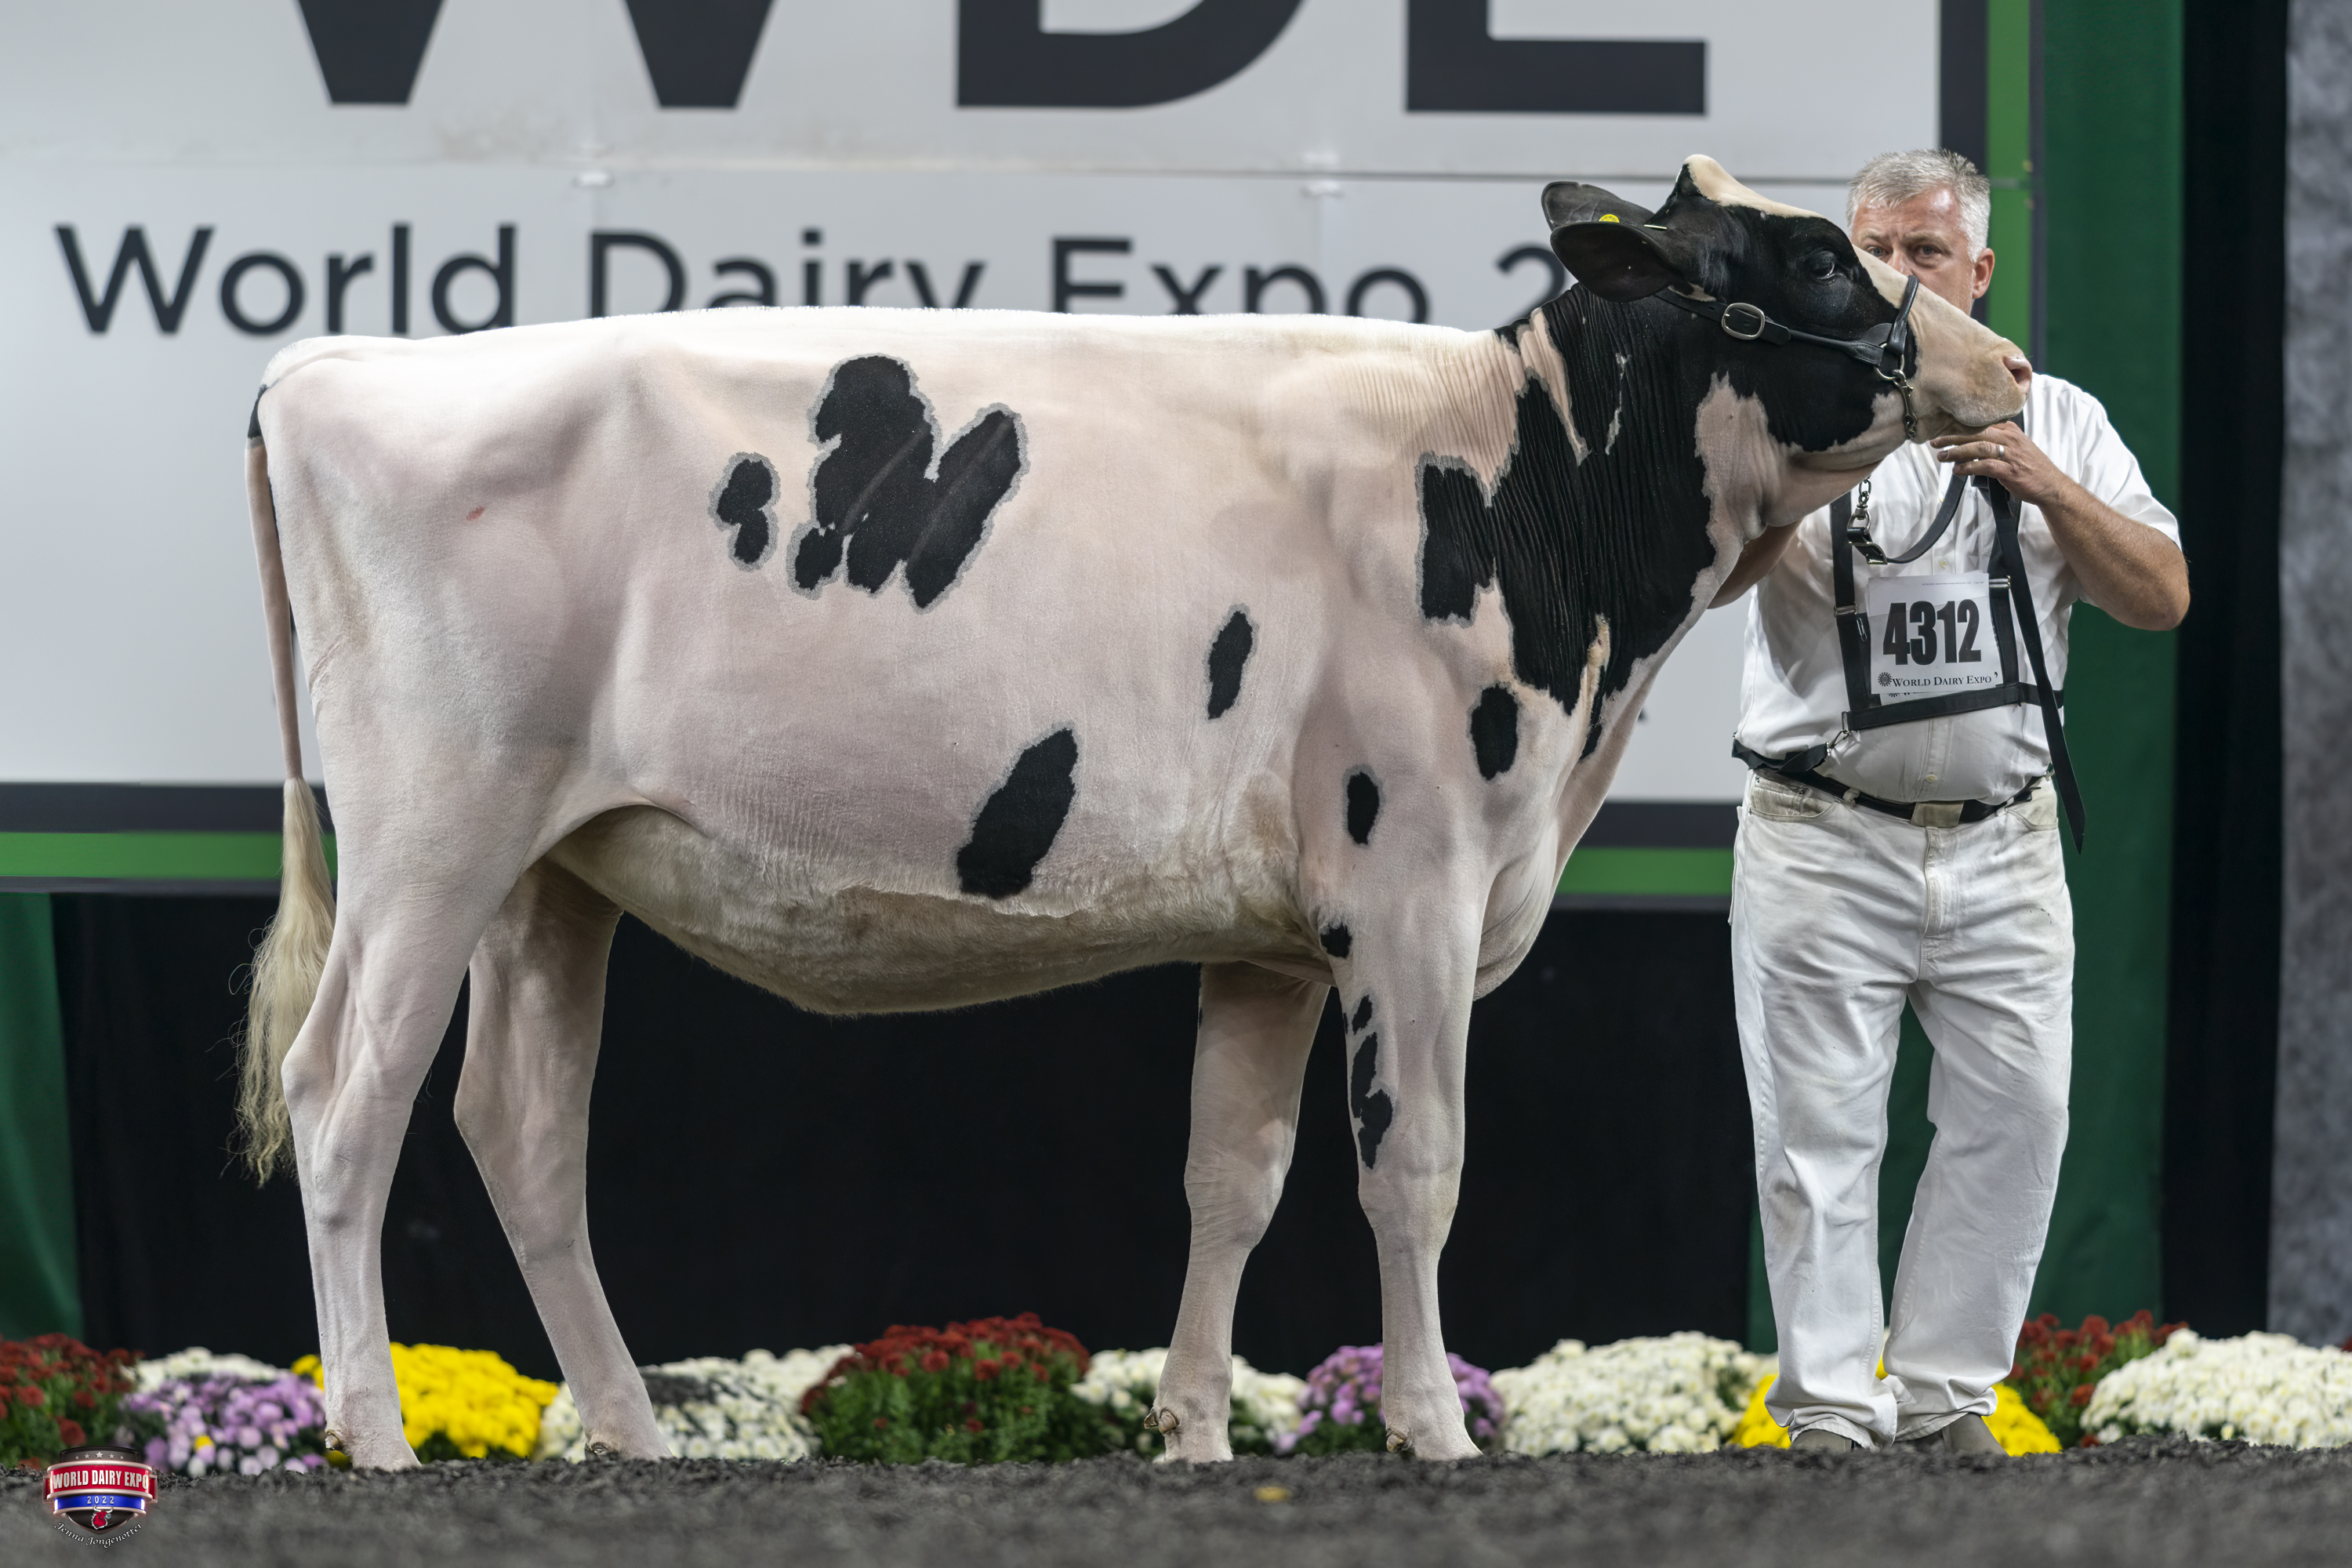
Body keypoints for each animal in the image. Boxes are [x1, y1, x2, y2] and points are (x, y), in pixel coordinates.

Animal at [235, 157, 2026, 1470]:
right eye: (1817, 260)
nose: (2007, 365)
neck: (1520, 494)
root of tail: (340, 362)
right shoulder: (1417, 882)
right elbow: (1416, 1167)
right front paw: (1436, 1430)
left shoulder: (1281, 941)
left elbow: (1233, 1173)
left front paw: (1192, 1431)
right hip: (431, 836)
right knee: (346, 1097)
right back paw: (373, 1433)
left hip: (556, 870)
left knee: (521, 1131)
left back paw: (626, 1435)